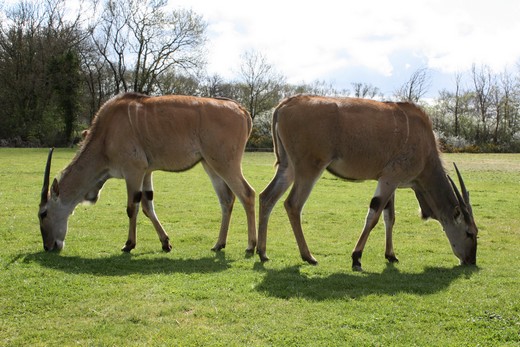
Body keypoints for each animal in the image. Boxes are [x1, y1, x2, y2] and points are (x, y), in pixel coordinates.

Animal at [37, 94, 256, 254]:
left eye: (43, 213)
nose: (48, 246)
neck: (105, 135)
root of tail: (241, 110)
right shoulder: (147, 172)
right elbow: (147, 206)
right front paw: (165, 243)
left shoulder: (133, 171)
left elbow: (131, 208)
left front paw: (129, 244)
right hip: (210, 165)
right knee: (227, 200)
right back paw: (219, 244)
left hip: (225, 165)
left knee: (247, 194)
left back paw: (251, 246)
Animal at [258, 95, 478, 272]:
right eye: (470, 233)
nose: (470, 261)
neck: (424, 146)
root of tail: (285, 104)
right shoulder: (390, 179)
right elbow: (373, 217)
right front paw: (356, 258)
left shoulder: (390, 181)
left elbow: (390, 218)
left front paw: (391, 255)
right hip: (309, 169)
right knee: (293, 204)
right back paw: (308, 256)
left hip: (287, 167)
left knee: (266, 197)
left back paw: (262, 252)